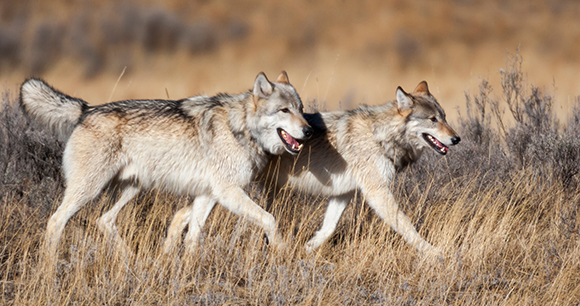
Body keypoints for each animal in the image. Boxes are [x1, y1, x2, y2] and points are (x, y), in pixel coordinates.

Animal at [165, 80, 460, 255]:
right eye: (433, 120)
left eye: (444, 117)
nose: (457, 139)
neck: (380, 136)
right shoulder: (377, 192)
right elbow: (406, 226)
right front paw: (434, 253)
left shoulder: (343, 194)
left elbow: (327, 229)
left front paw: (307, 250)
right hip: (230, 189)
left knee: (181, 215)